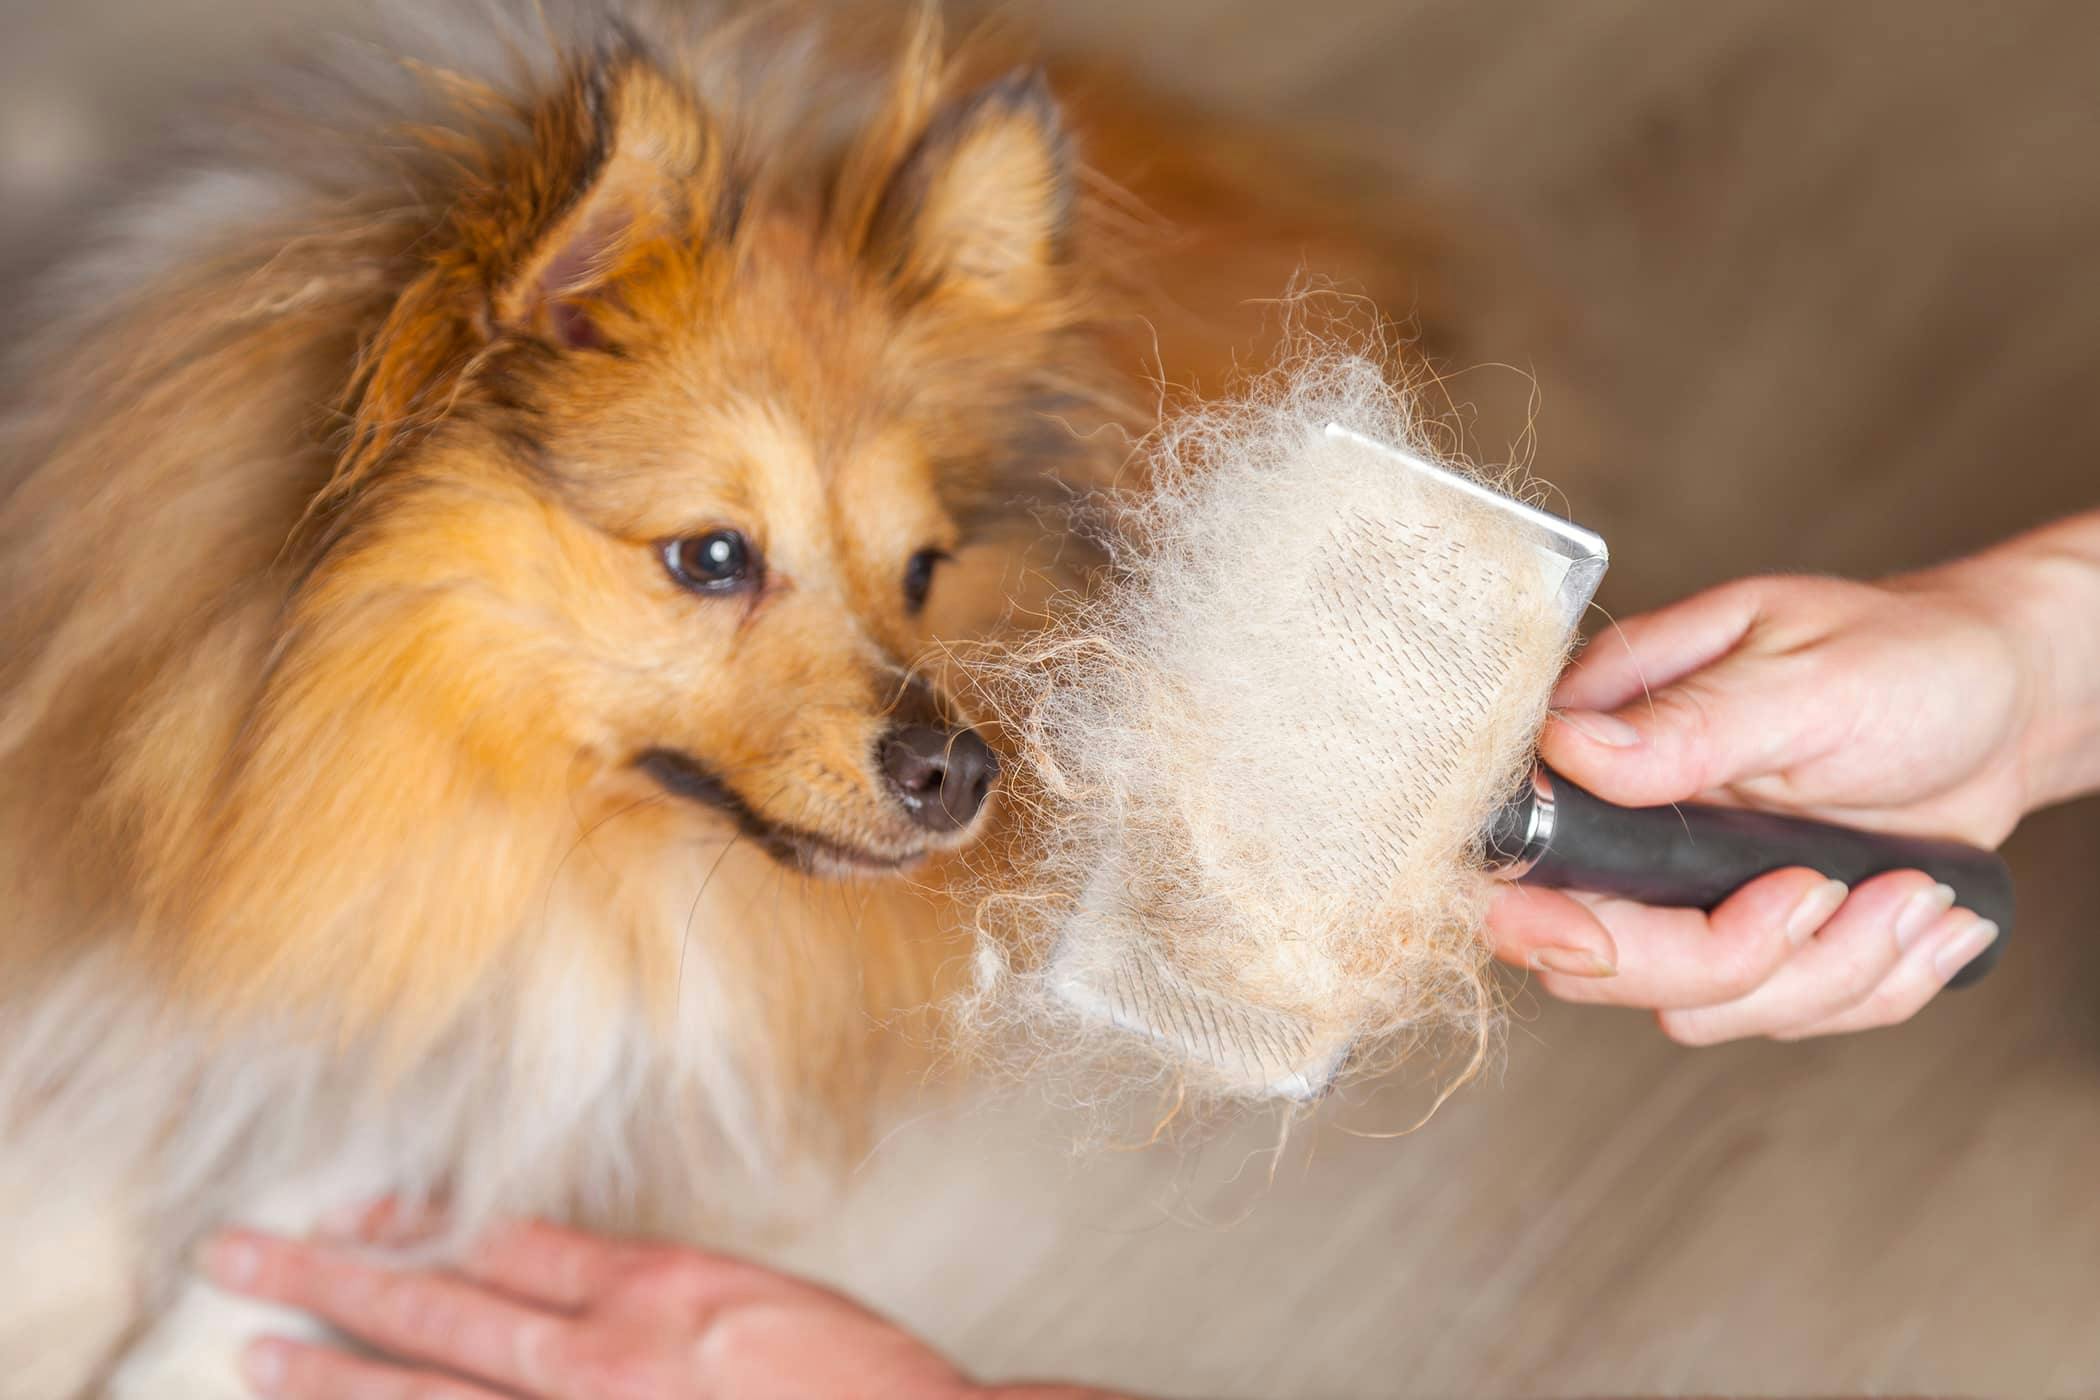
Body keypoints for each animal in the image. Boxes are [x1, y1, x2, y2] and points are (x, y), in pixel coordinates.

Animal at [0, 2, 1461, 1393]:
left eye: (923, 569)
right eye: (712, 555)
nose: (959, 772)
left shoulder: (511, 984)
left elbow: (358, 1132)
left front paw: (194, 1350)